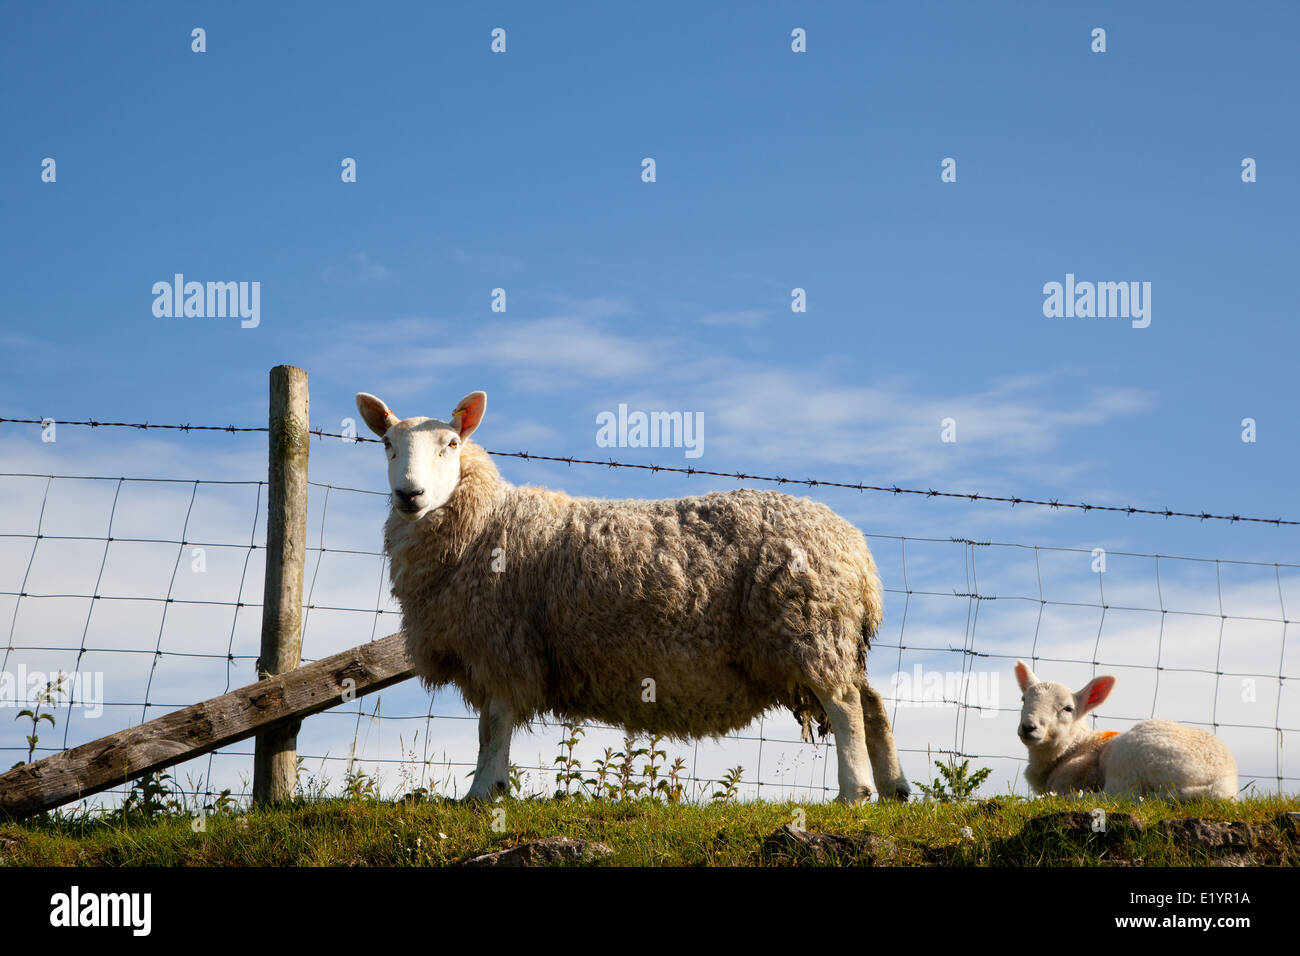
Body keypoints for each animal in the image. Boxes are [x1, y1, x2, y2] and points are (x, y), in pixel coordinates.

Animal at [351, 392, 909, 806]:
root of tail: (858, 552)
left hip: (808, 626)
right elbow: (493, 728)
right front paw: (490, 791)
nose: (409, 495)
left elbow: (494, 726)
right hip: (831, 635)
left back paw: (855, 793)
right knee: (872, 702)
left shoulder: (503, 646)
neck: (484, 521)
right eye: (387, 444)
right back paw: (895, 788)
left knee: (845, 704)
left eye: (449, 443)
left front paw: (482, 793)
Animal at [1008, 658, 1232, 801]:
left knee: (1120, 796)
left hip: (1129, 760)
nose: (1028, 727)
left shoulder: (1070, 776)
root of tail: (1221, 785)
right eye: (1023, 699)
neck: (1073, 747)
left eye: (1068, 708)